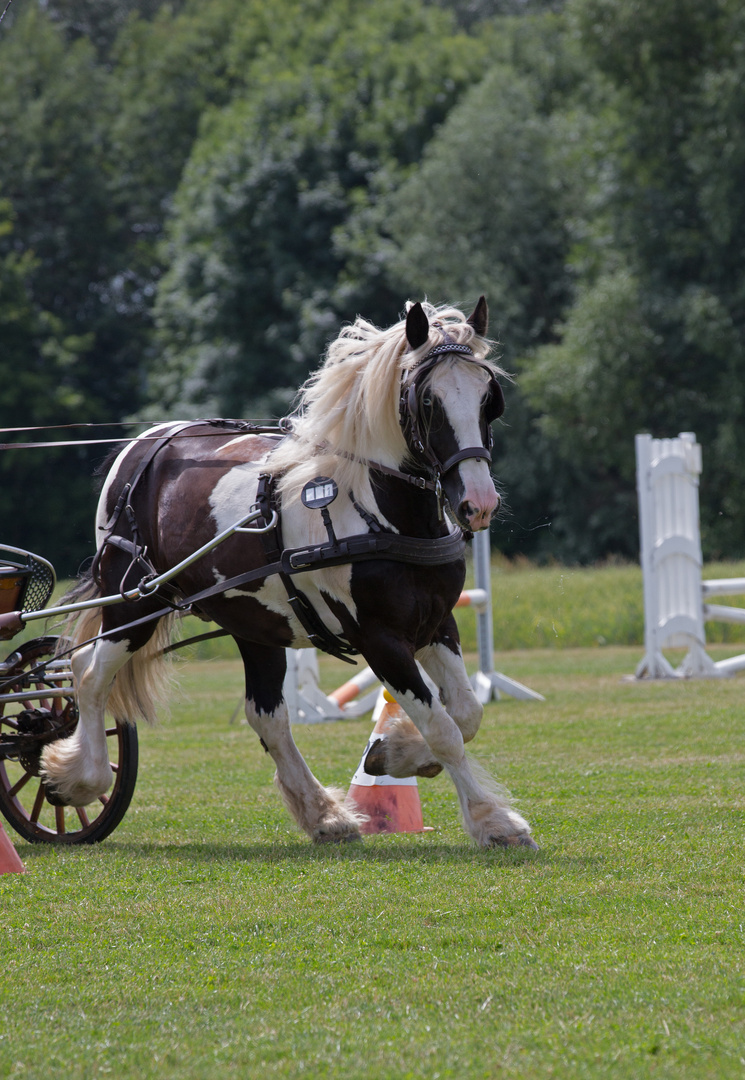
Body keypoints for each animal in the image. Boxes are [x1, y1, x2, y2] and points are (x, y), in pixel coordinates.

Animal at [42, 300, 533, 846]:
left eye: (489, 399)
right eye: (428, 401)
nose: (478, 504)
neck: (378, 513)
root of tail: (146, 443)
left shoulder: (436, 624)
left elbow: (466, 713)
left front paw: (395, 752)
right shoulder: (380, 640)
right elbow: (443, 728)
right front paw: (493, 822)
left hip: (252, 623)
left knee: (267, 717)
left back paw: (324, 814)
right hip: (136, 603)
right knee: (88, 673)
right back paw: (80, 778)